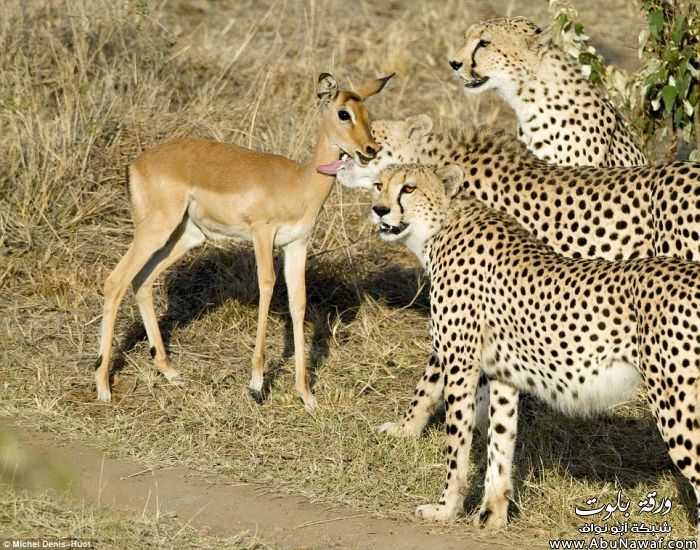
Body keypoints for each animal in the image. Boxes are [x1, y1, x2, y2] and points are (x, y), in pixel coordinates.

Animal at [370, 164, 696, 536]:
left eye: (409, 188)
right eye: (379, 185)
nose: (379, 209)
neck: (441, 227)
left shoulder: (460, 364)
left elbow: (457, 443)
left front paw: (445, 508)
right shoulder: (503, 375)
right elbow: (500, 442)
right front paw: (492, 515)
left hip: (676, 403)